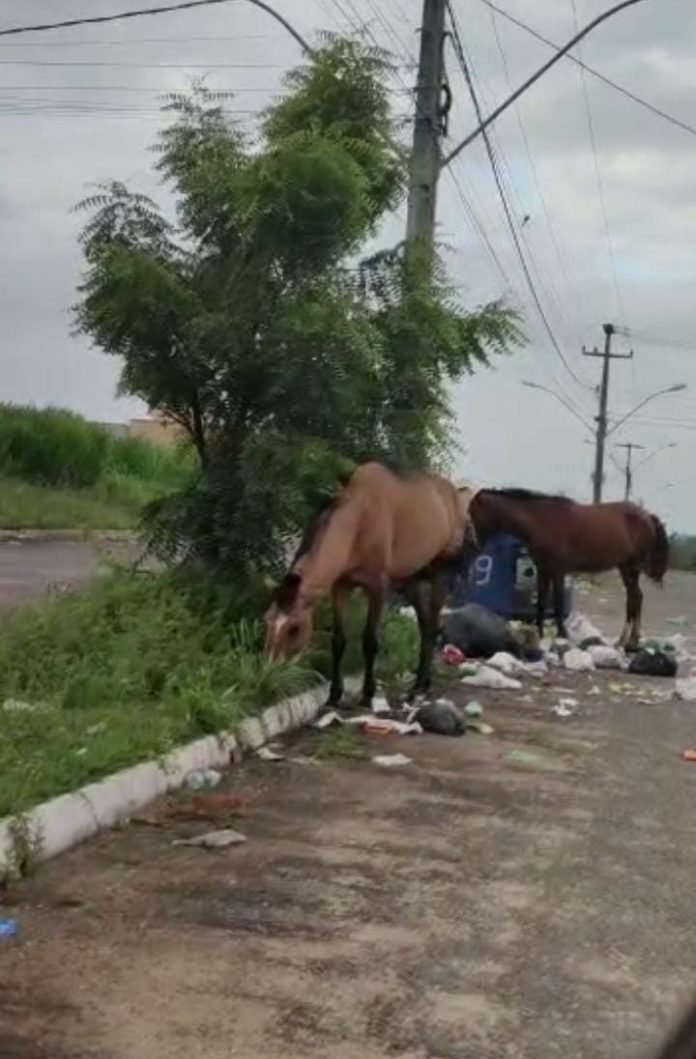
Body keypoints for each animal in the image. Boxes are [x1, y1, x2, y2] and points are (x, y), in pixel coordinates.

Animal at [264, 461, 472, 703]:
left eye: (294, 629)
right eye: (267, 621)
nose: (270, 675)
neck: (358, 523)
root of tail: (453, 493)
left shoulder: (377, 588)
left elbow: (370, 640)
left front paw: (367, 694)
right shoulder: (340, 587)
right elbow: (338, 640)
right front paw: (334, 694)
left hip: (439, 572)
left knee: (433, 625)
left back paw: (421, 686)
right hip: (409, 579)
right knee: (425, 624)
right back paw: (419, 684)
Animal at [466, 485, 669, 643]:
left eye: (474, 514)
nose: (475, 543)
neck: (542, 521)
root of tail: (648, 516)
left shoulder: (558, 570)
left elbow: (557, 602)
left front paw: (562, 634)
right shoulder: (543, 570)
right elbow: (541, 602)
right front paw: (539, 633)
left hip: (631, 567)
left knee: (635, 598)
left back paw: (631, 641)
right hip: (626, 568)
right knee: (634, 598)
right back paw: (624, 642)